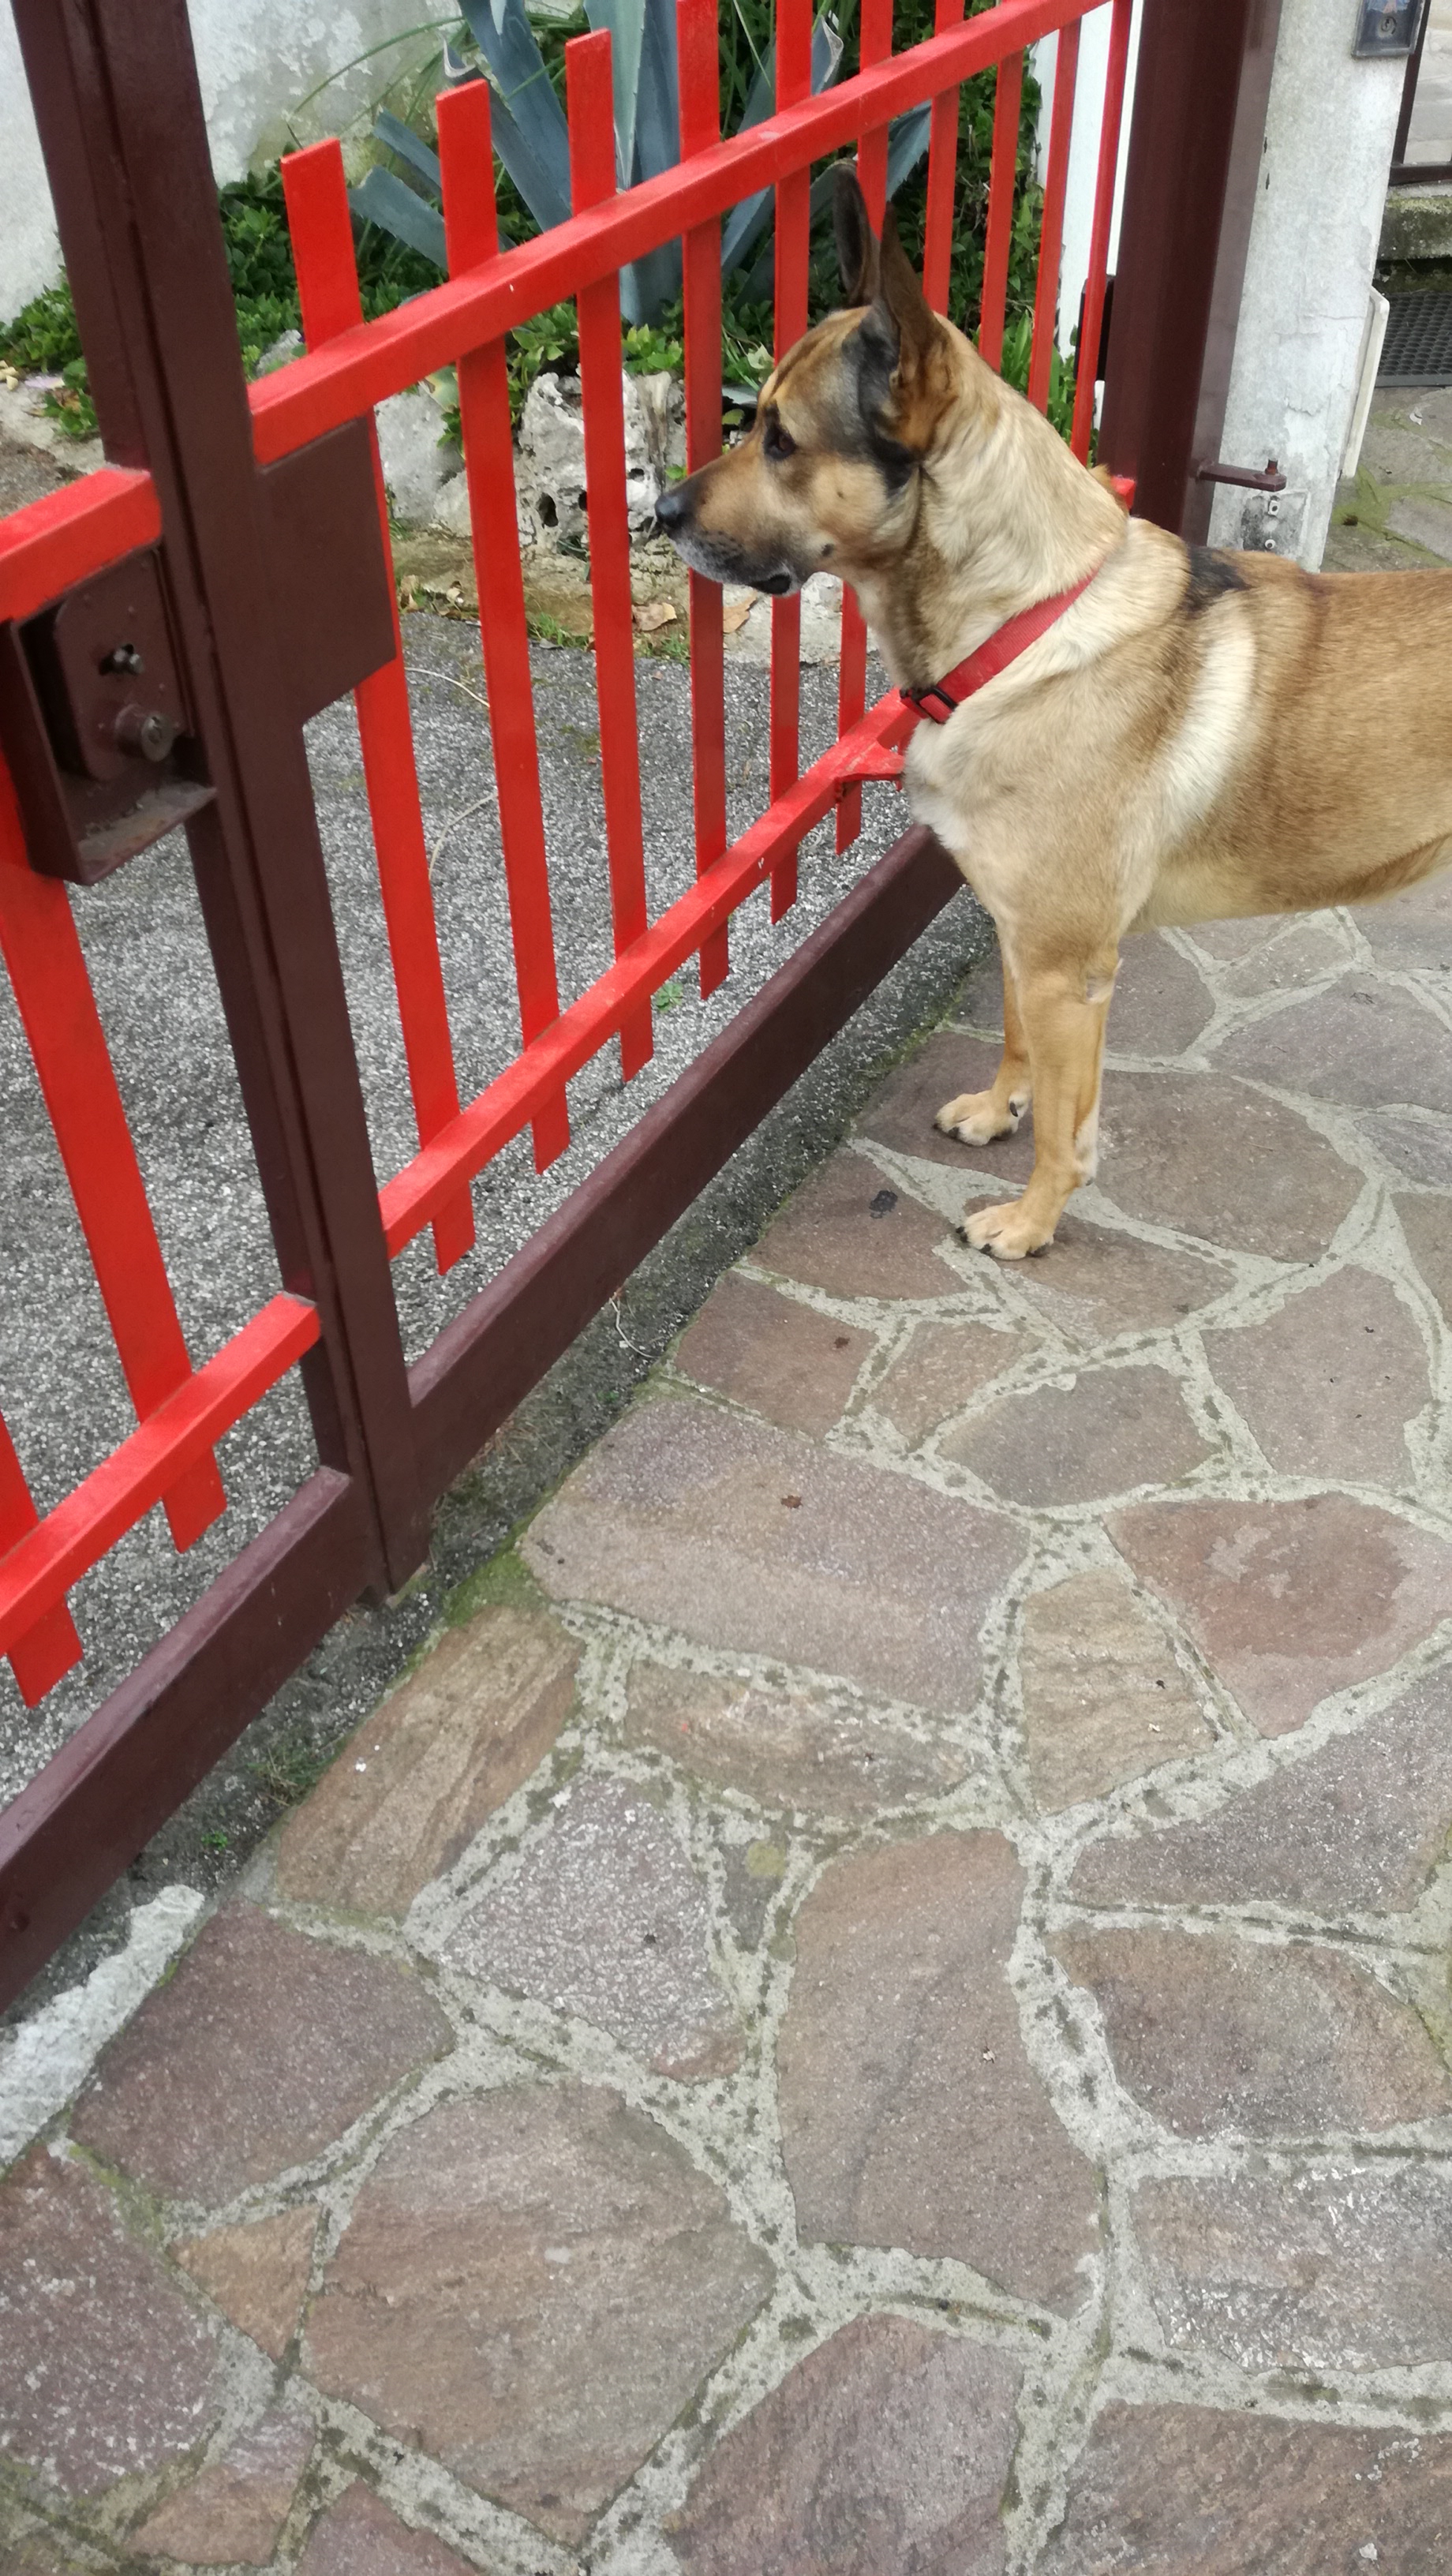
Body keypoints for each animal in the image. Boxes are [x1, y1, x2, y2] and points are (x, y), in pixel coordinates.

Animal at [654, 166, 1452, 1258]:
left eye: (780, 441)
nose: (656, 515)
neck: (1022, 628)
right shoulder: (1020, 938)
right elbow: (1016, 1045)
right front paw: (999, 1111)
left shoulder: (1064, 966)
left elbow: (1065, 1135)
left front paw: (1030, 1222)